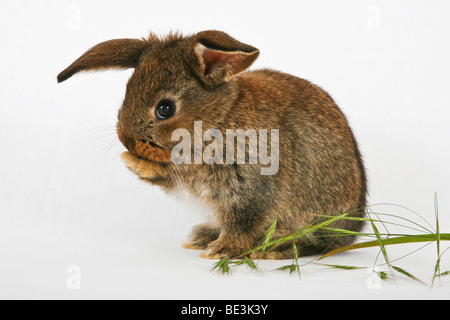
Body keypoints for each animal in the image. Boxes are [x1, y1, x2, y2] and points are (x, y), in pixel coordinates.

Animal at [57, 30, 366, 260]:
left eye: (165, 108)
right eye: (126, 92)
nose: (127, 140)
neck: (217, 119)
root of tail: (357, 224)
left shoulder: (249, 187)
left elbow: (243, 222)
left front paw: (223, 250)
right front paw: (132, 161)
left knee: (319, 243)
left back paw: (274, 249)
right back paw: (201, 237)